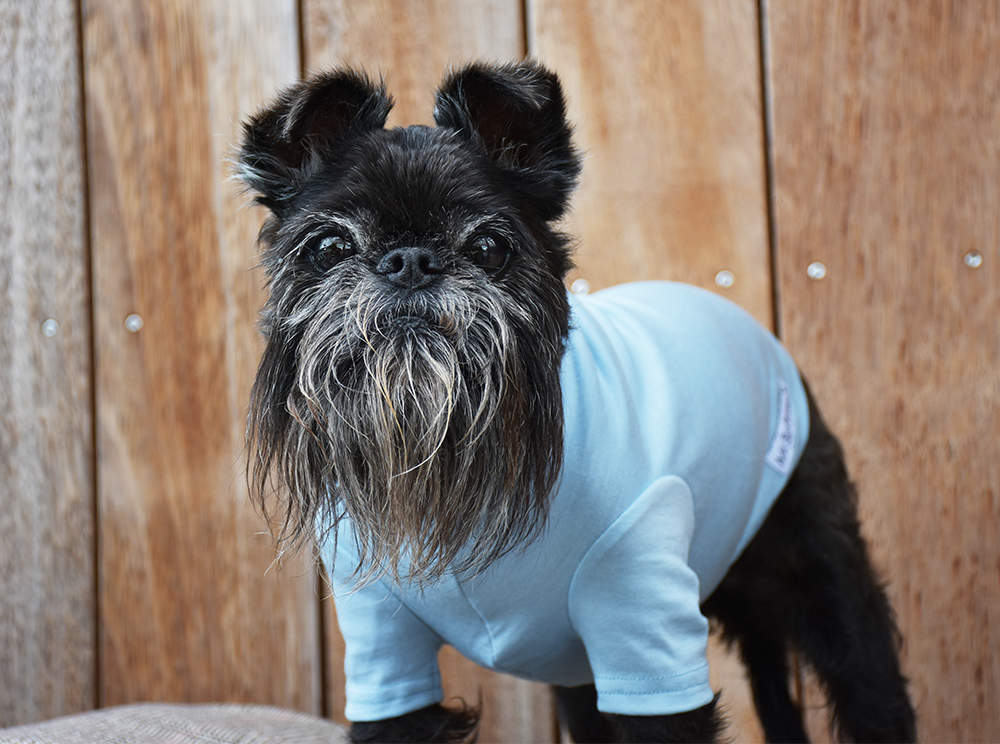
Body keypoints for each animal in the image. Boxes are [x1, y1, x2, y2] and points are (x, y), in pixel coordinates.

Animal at [236, 59, 916, 744]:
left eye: (489, 247)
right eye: (330, 248)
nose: (409, 260)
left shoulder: (646, 632)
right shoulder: (387, 653)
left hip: (824, 578)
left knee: (871, 686)